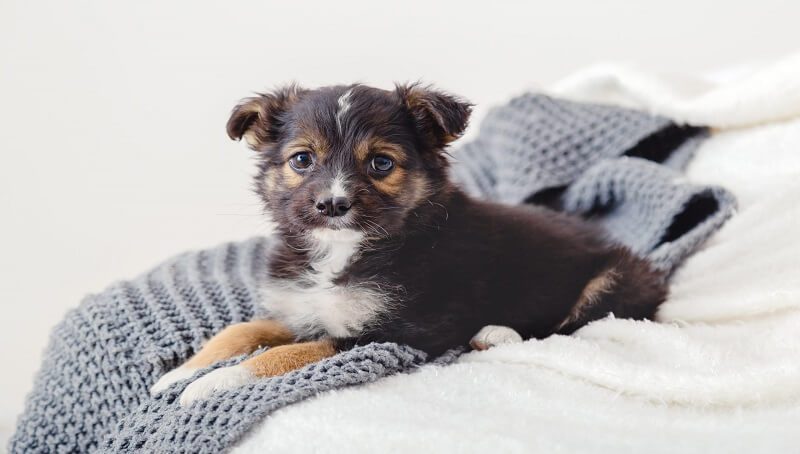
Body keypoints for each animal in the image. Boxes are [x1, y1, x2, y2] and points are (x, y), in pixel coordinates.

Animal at [153, 82, 664, 404]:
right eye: (301, 159)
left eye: (381, 163)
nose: (332, 204)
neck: (344, 250)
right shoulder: (301, 308)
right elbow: (242, 329)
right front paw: (180, 372)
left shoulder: (397, 331)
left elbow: (292, 352)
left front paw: (215, 383)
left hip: (617, 279)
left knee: (566, 327)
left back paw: (496, 333)